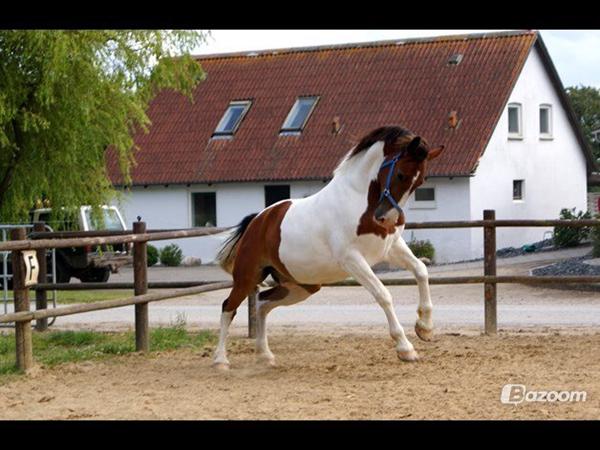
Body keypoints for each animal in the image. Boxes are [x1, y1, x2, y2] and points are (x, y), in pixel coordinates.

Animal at [213, 124, 442, 370]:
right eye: (400, 174)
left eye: (420, 182)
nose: (389, 219)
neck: (360, 202)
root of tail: (258, 220)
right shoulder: (352, 259)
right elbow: (383, 295)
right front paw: (405, 349)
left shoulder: (391, 248)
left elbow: (421, 270)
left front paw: (425, 328)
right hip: (247, 277)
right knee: (228, 307)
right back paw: (221, 361)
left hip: (301, 286)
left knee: (262, 303)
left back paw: (265, 355)